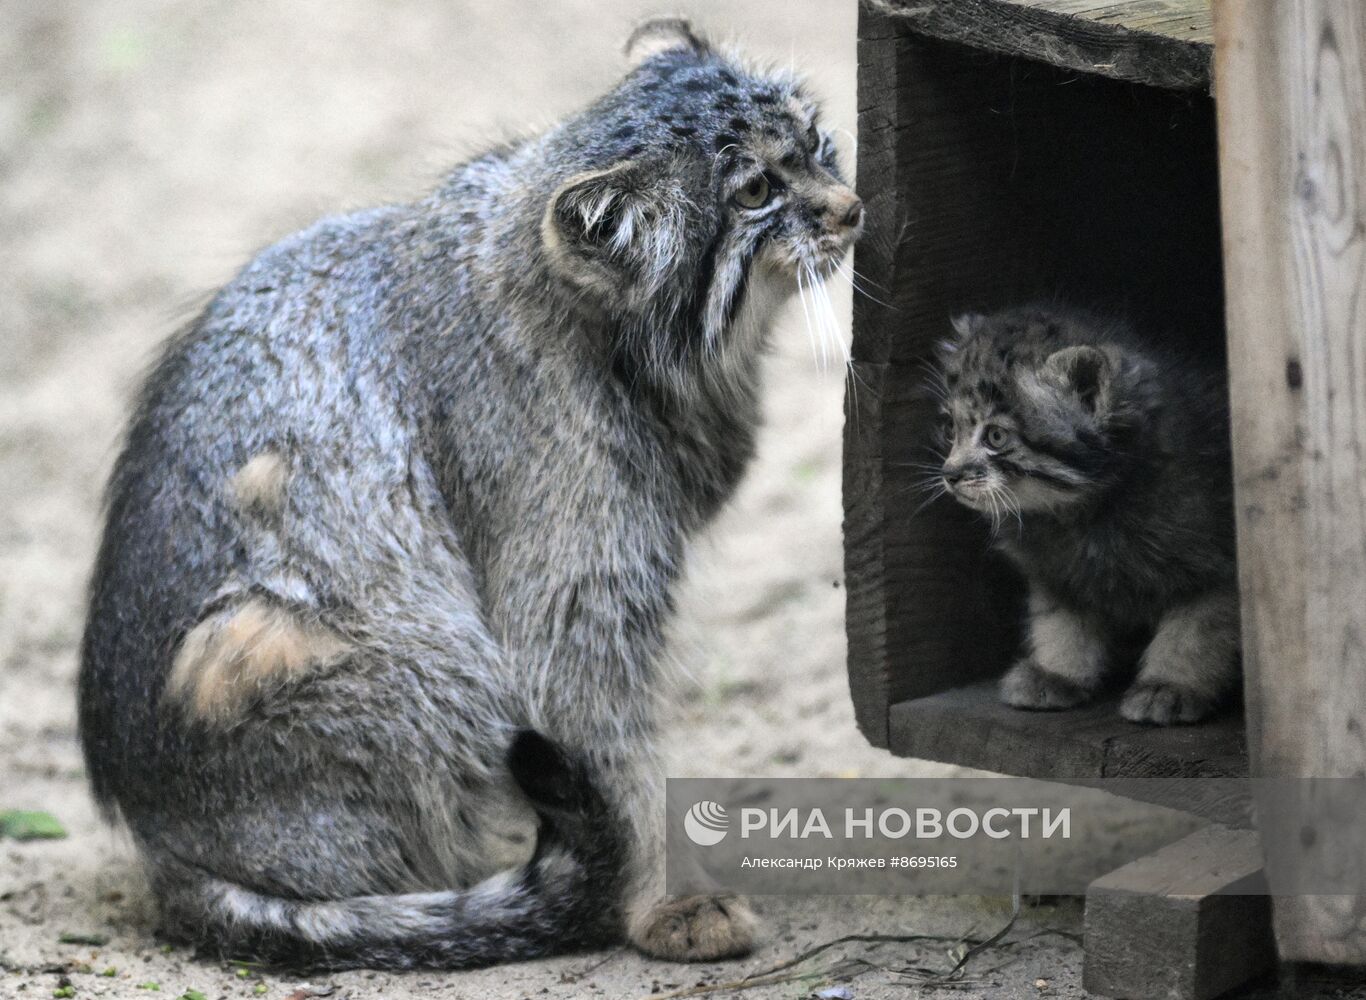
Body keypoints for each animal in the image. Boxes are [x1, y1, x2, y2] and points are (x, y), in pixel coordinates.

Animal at [74, 19, 857, 972]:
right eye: (754, 192)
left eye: (814, 138)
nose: (852, 206)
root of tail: (164, 842)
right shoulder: (571, 584)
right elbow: (611, 747)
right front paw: (665, 897)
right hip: (406, 655)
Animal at [934, 306, 1245, 726]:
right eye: (950, 428)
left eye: (996, 437)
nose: (950, 475)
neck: (1085, 511)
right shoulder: (1058, 572)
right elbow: (1061, 621)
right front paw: (1058, 672)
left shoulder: (1217, 566)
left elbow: (1196, 631)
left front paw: (1171, 685)